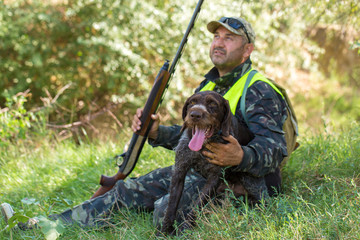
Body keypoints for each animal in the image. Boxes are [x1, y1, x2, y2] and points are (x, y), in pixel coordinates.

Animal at [162, 90, 268, 234]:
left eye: (212, 104)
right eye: (192, 102)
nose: (195, 114)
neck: (202, 148)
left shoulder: (214, 178)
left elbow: (197, 205)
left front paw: (185, 229)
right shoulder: (179, 170)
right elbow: (171, 205)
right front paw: (163, 232)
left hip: (250, 180)